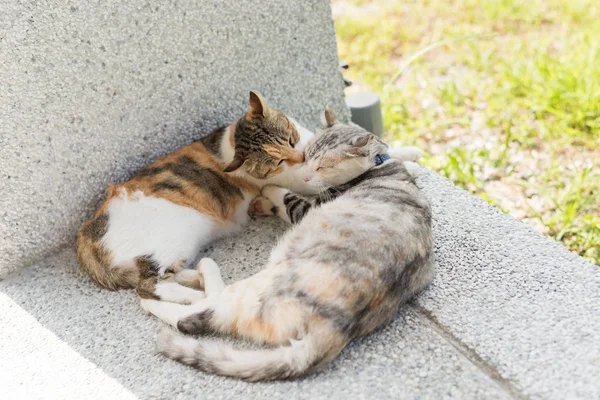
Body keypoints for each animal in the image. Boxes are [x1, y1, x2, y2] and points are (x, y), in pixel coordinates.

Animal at [77, 92, 316, 302]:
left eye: (291, 139)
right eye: (278, 162)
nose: (301, 157)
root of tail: (86, 236)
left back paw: (199, 276)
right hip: (164, 243)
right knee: (149, 286)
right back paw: (202, 295)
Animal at [141, 106, 434, 382]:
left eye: (323, 166)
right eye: (308, 156)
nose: (304, 175)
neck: (379, 164)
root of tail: (334, 330)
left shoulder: (307, 207)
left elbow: (283, 194)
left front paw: (268, 191)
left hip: (258, 285)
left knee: (195, 313)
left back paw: (188, 279)